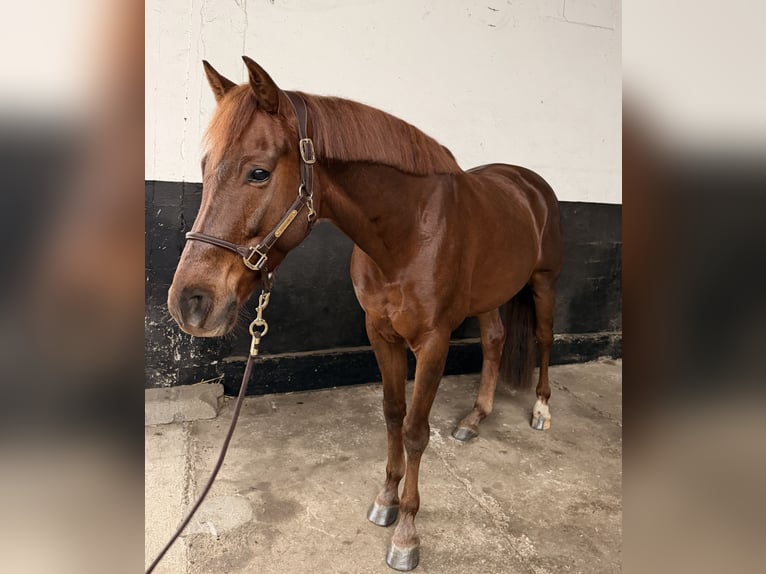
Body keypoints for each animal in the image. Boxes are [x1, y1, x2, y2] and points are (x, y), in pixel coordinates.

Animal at [167, 56, 562, 571]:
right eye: (205, 167)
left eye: (258, 172)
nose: (189, 302)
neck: (410, 232)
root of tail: (529, 183)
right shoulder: (380, 332)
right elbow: (393, 415)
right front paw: (386, 501)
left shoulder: (433, 342)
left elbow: (415, 431)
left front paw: (407, 534)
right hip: (493, 293)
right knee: (495, 341)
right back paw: (475, 419)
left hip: (544, 283)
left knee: (544, 340)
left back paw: (541, 410)